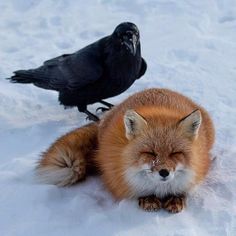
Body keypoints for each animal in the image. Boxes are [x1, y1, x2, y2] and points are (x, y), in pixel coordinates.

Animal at [36, 87, 214, 213]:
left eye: (175, 153)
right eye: (150, 153)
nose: (164, 172)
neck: (160, 189)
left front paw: (176, 197)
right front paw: (148, 199)